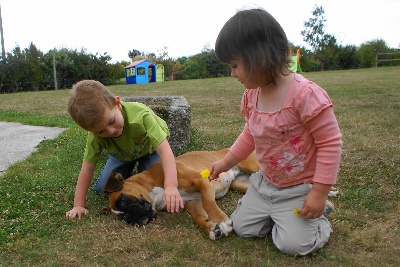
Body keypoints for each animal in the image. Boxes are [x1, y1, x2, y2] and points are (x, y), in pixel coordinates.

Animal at [103, 149, 260, 241]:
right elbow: (198, 217)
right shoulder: (194, 202)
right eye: (123, 218)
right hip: (242, 184)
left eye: (122, 200)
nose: (129, 218)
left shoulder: (203, 181)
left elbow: (209, 203)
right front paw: (211, 228)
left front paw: (222, 221)